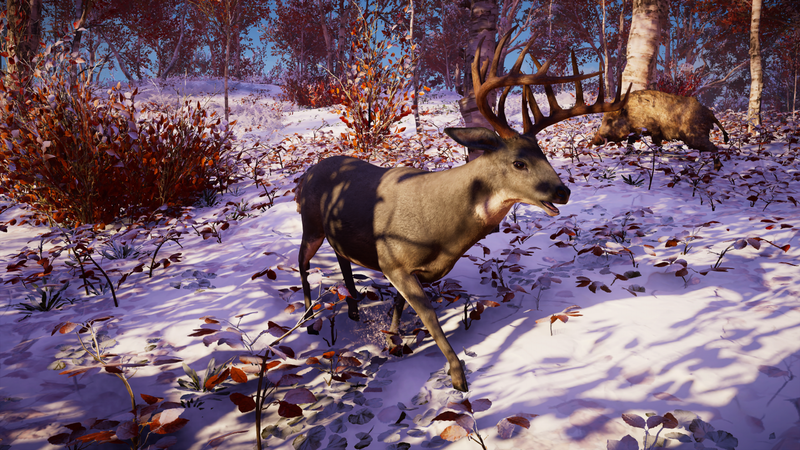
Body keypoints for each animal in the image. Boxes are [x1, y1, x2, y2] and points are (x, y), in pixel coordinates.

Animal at [294, 29, 631, 392]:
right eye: (519, 162)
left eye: (544, 154)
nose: (563, 192)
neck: (443, 231)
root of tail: (309, 172)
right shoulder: (392, 259)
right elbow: (429, 316)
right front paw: (458, 378)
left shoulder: (411, 268)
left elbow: (399, 304)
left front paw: (393, 341)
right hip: (310, 222)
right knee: (302, 261)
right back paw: (308, 321)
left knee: (340, 253)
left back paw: (355, 309)